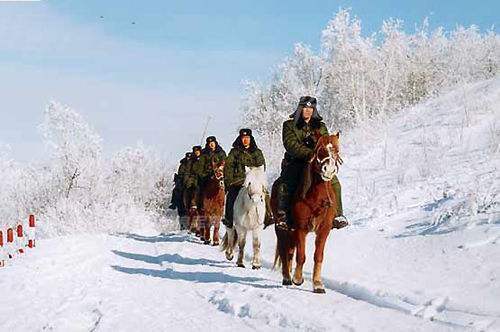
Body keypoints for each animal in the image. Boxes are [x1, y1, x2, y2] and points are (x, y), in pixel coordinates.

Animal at [272, 132, 342, 294]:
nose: (329, 170)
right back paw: (287, 278)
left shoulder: (324, 230)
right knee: (284, 251)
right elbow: (301, 256)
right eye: (320, 150)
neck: (316, 197)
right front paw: (298, 279)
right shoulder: (301, 228)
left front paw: (317, 284)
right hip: (281, 228)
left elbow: (318, 256)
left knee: (290, 251)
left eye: (336, 150)